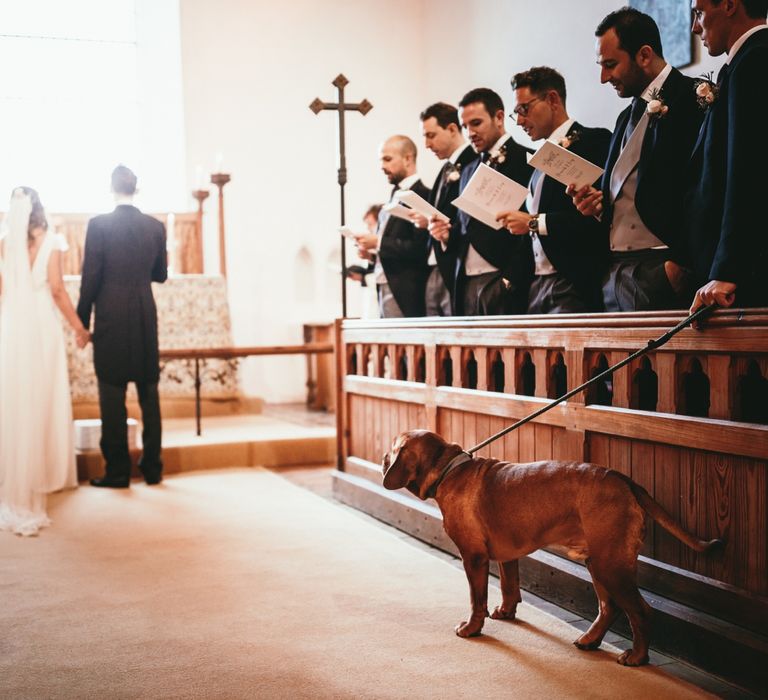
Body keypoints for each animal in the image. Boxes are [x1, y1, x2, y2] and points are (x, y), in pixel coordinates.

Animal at [380, 426, 724, 668]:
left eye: (394, 449)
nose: (383, 457)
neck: (449, 469)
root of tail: (622, 478)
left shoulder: (473, 558)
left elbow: (477, 598)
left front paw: (472, 628)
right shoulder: (507, 557)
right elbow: (509, 586)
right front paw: (506, 613)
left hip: (611, 566)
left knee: (641, 611)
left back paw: (637, 657)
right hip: (598, 562)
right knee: (609, 607)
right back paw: (589, 640)